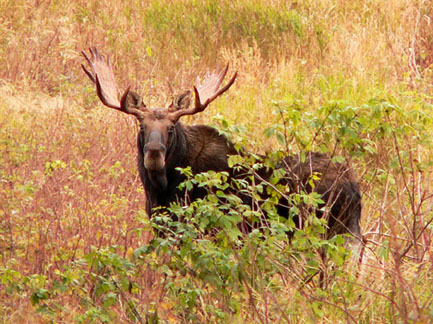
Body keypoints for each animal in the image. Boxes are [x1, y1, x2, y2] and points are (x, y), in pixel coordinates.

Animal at [81, 46, 362, 242]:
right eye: (142, 126)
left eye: (170, 128)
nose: (154, 154)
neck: (159, 190)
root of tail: (354, 186)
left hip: (329, 228)